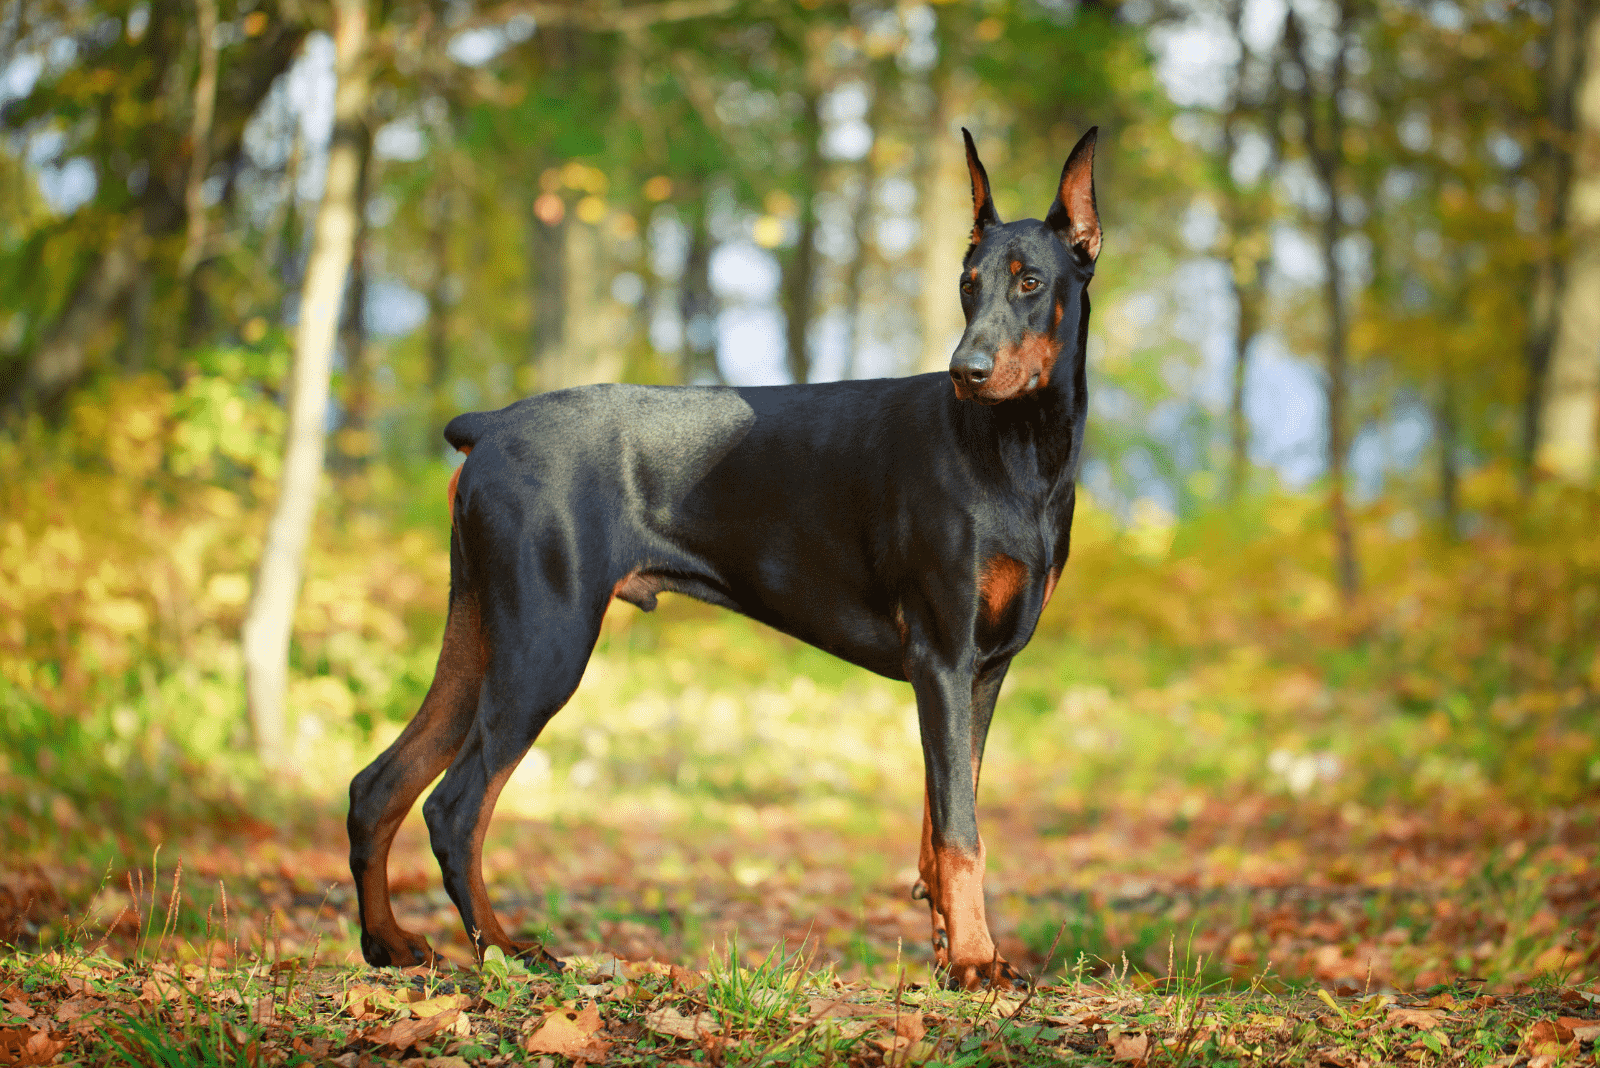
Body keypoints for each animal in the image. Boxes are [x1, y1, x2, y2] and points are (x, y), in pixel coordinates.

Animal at [348, 127, 1100, 991]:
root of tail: (492, 424)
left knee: (379, 784)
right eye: (967, 285)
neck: (1016, 450)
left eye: (1030, 281)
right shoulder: (942, 657)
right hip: (546, 643)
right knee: (456, 806)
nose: (965, 371)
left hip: (480, 631)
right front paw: (976, 960)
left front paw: (951, 952)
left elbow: (941, 819)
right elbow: (959, 831)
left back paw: (389, 943)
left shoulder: (984, 669)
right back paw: (507, 951)